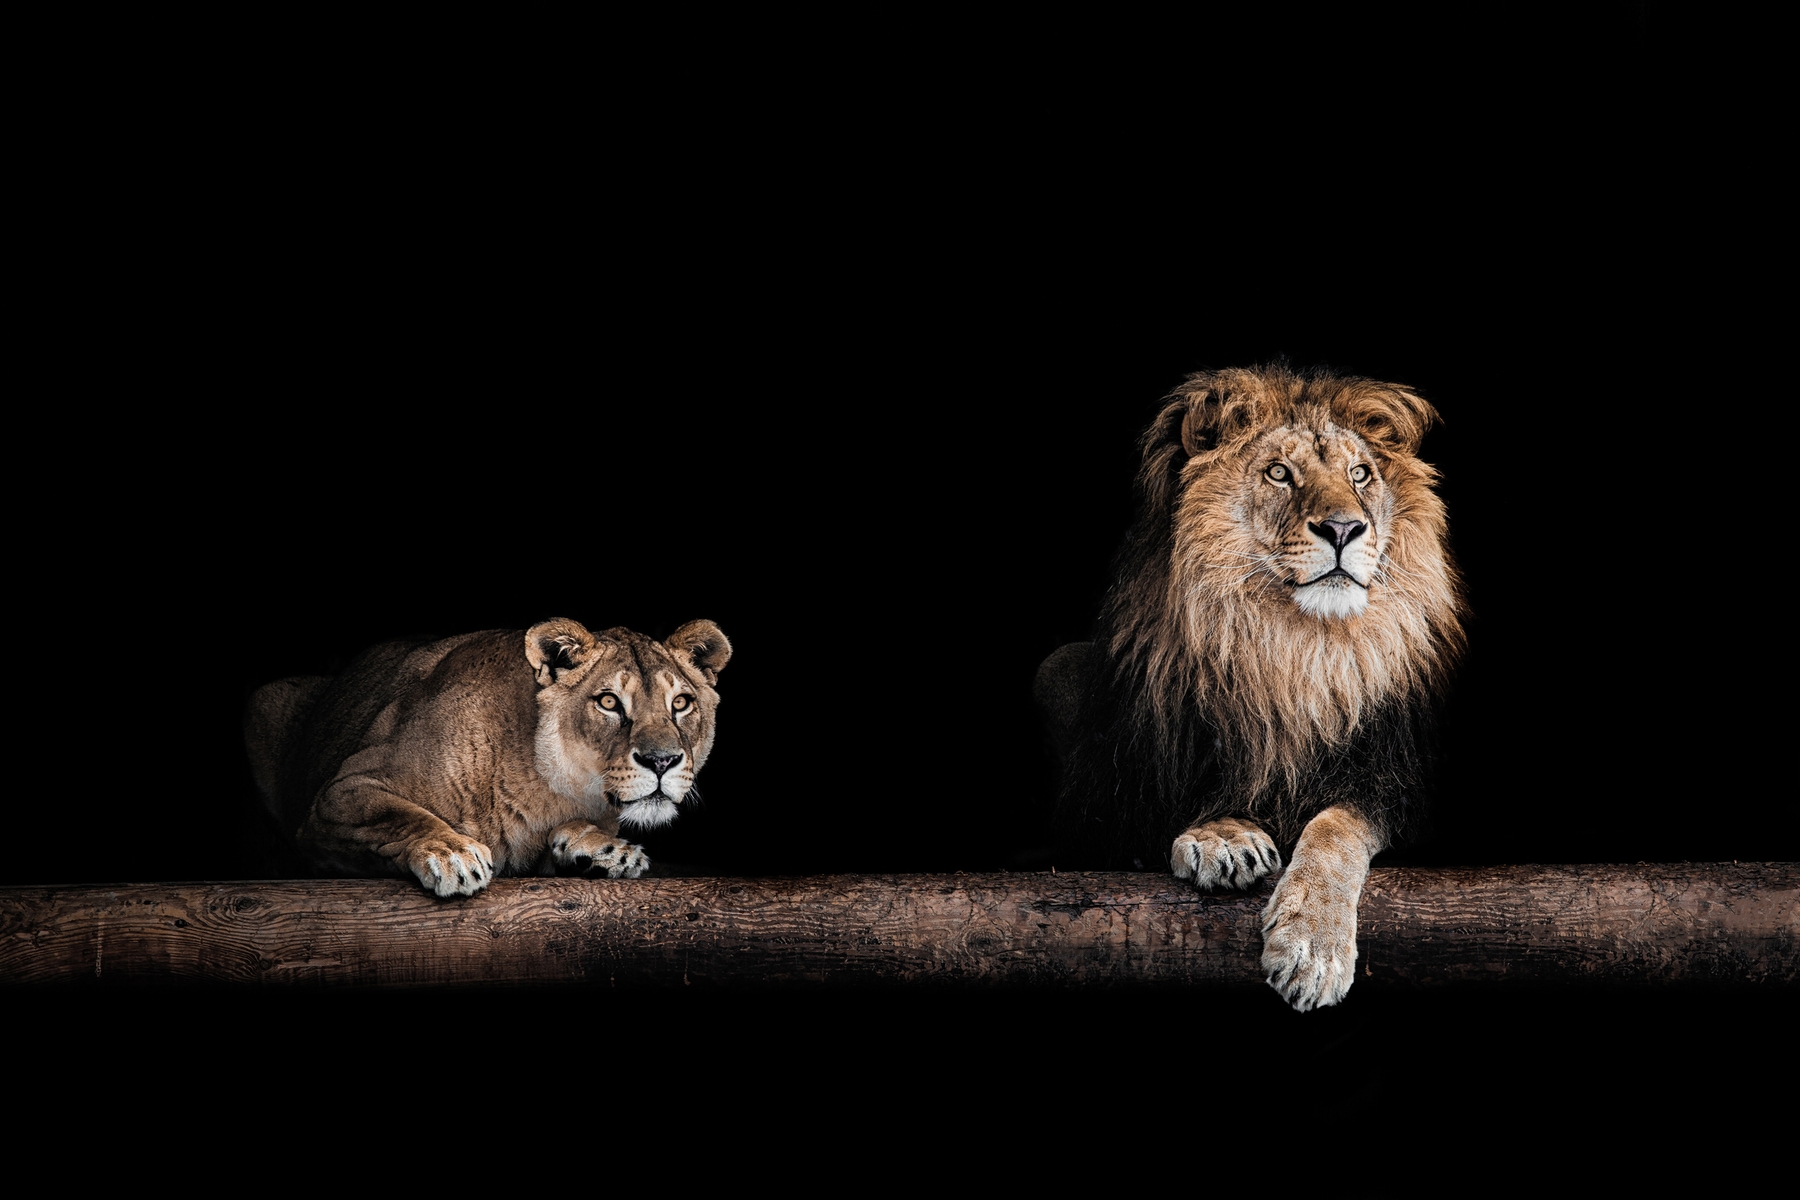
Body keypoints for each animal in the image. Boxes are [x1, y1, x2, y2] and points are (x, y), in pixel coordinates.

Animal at [244, 618, 731, 896]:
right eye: (609, 702)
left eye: (681, 703)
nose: (662, 761)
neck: (545, 786)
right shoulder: (342, 793)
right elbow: (400, 814)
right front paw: (452, 854)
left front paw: (604, 851)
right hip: (265, 702)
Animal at [1039, 364, 1466, 1010]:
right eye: (1279, 473)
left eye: (1360, 474)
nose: (1344, 528)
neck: (1290, 652)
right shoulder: (1102, 808)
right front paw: (1225, 836)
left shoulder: (1395, 783)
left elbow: (1338, 825)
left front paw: (1312, 948)